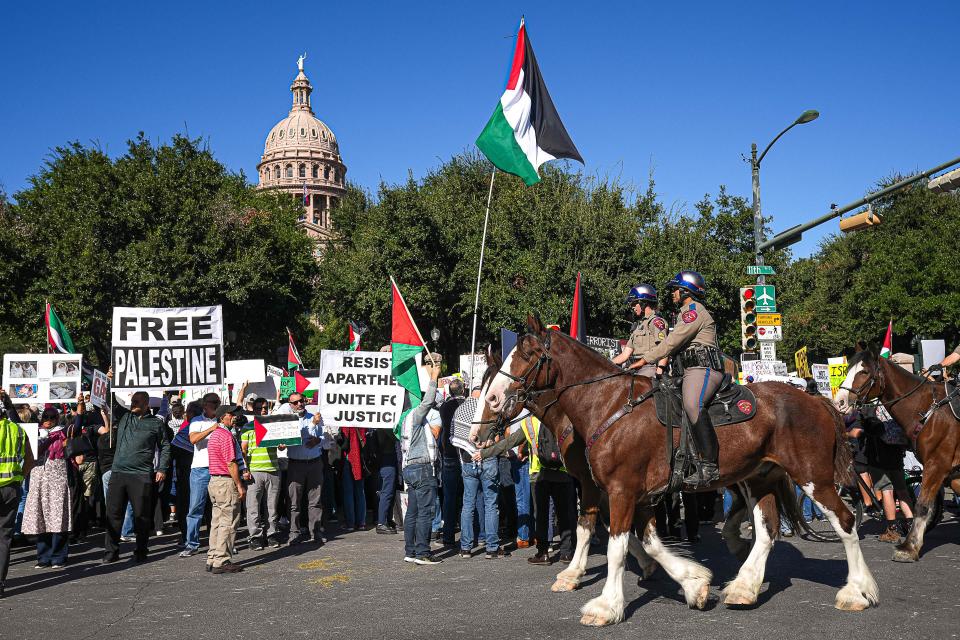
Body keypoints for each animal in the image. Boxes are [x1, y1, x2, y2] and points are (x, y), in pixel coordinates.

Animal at [480, 318, 876, 628]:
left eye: (530, 354)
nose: (493, 402)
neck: (608, 404)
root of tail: (817, 399)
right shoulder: (636, 495)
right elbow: (649, 543)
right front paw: (694, 583)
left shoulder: (619, 489)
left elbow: (612, 545)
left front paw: (605, 605)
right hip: (760, 477)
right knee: (767, 530)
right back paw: (743, 587)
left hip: (813, 477)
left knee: (844, 521)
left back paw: (857, 591)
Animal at [832, 350, 960, 560]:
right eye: (848, 368)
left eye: (864, 372)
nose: (839, 402)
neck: (927, 411)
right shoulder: (953, 473)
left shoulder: (937, 465)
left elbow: (921, 505)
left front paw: (909, 547)